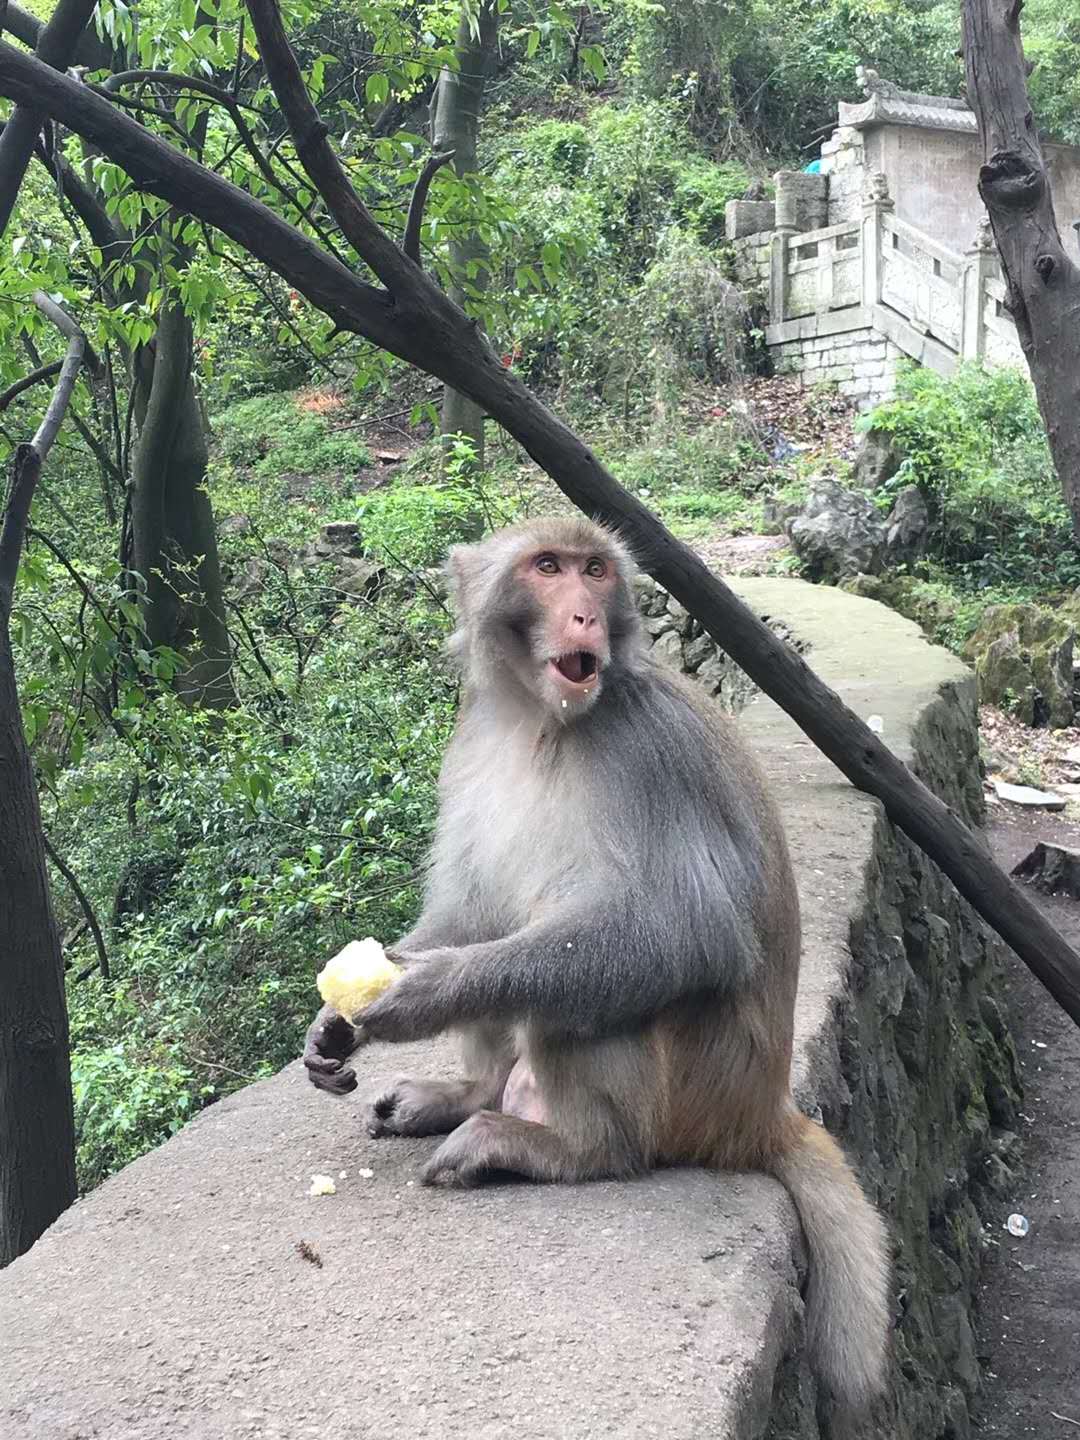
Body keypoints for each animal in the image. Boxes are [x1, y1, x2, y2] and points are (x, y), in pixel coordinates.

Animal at [302, 515, 887, 1405]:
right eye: (547, 568)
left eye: (596, 571)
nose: (583, 613)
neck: (538, 721)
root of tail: (759, 1114)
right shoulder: (472, 736)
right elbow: (474, 908)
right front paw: (336, 1024)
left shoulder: (647, 747)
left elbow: (687, 934)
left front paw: (427, 992)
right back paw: (470, 1094)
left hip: (694, 1094)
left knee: (589, 991)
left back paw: (570, 1149)